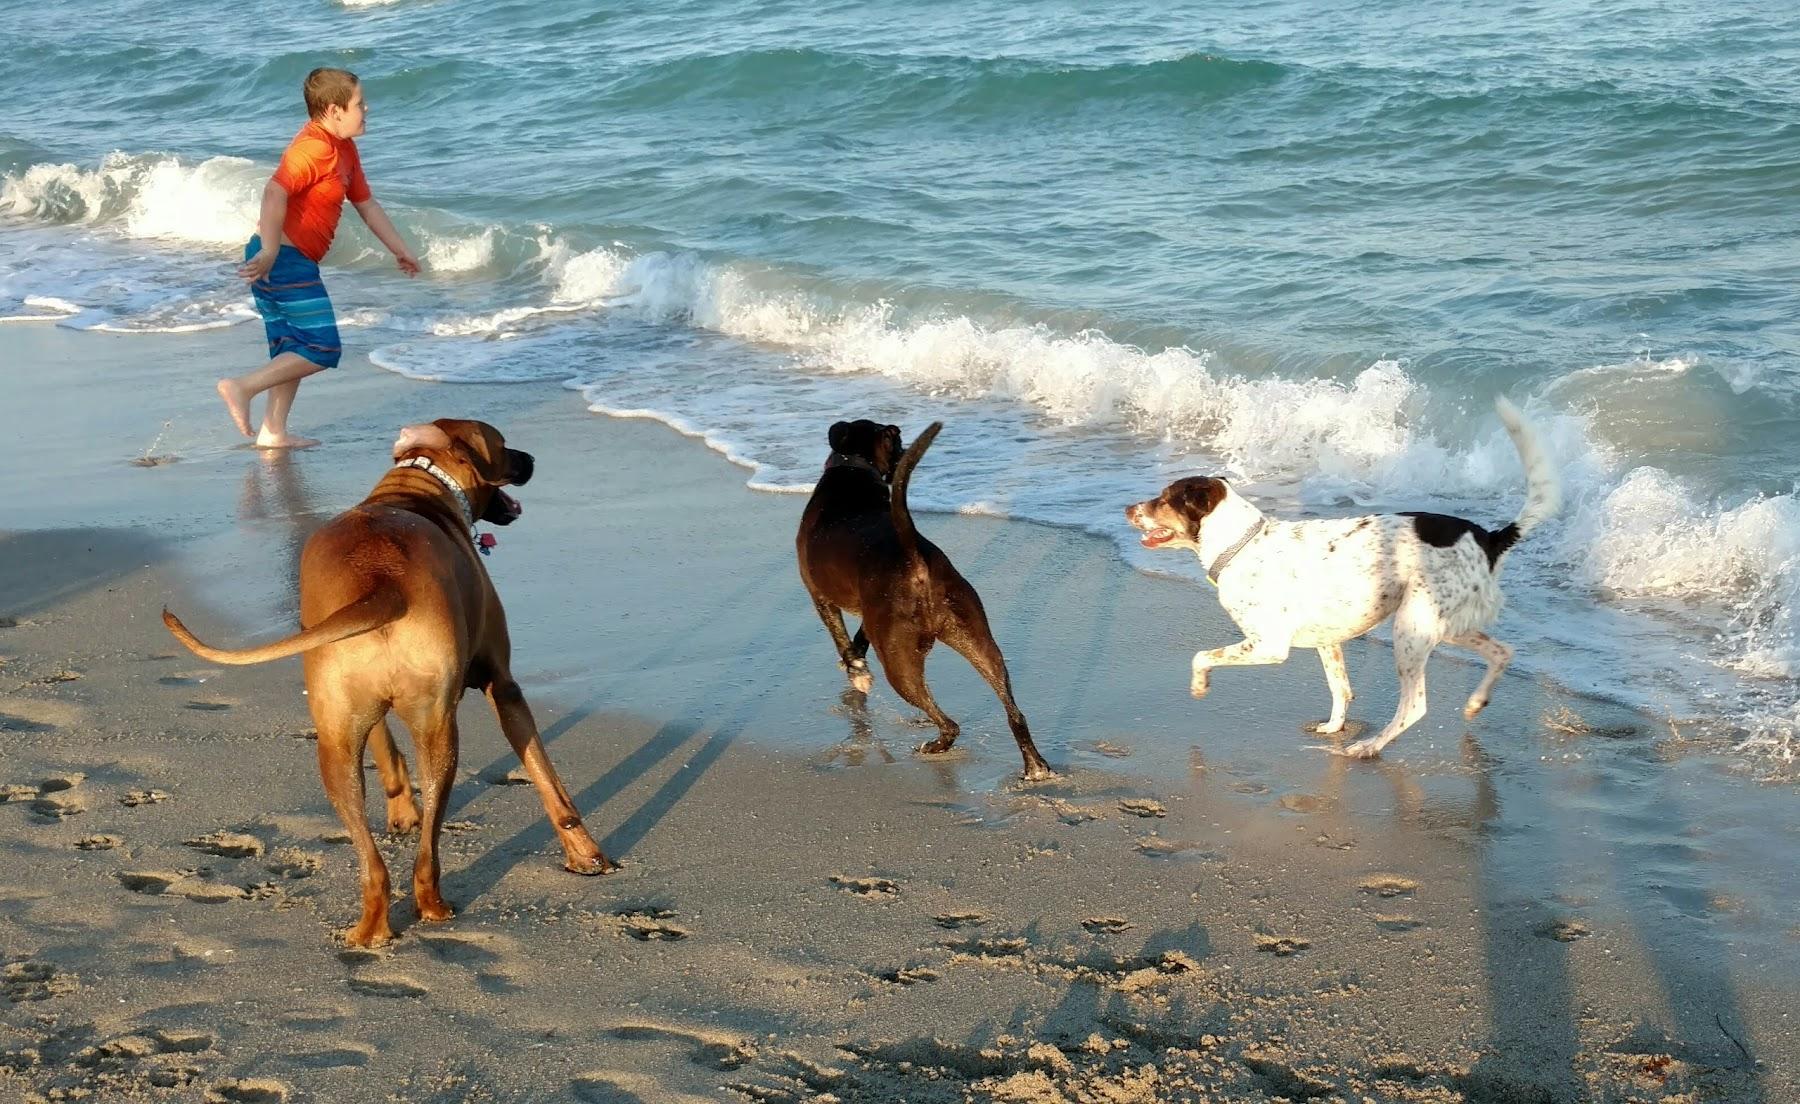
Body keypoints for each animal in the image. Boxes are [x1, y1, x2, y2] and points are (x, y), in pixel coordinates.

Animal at [162, 417, 612, 943]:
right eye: (504, 446)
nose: (532, 459)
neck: (417, 487)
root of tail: (383, 582)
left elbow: (384, 745)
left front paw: (400, 808)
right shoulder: (504, 685)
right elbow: (547, 779)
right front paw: (585, 853)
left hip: (336, 737)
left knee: (371, 855)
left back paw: (371, 927)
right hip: (438, 727)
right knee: (429, 845)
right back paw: (432, 905)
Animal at [792, 417, 1051, 778]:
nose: (901, 453)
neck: (852, 467)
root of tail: (914, 557)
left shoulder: (819, 596)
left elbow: (841, 638)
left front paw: (856, 672)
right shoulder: (869, 611)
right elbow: (860, 636)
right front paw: (855, 663)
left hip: (899, 662)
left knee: (949, 722)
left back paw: (935, 745)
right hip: (978, 640)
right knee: (1014, 711)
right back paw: (1035, 766)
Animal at [1123, 398, 1562, 756]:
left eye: (1163, 499)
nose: (1128, 508)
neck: (1243, 544)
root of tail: (1489, 537)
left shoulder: (1268, 645)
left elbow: (1201, 656)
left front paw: (1200, 686)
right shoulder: (1327, 641)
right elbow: (1341, 688)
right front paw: (1334, 726)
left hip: (1411, 628)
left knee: (1415, 705)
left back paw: (1370, 746)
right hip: (1443, 624)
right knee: (1503, 652)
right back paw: (1475, 702)